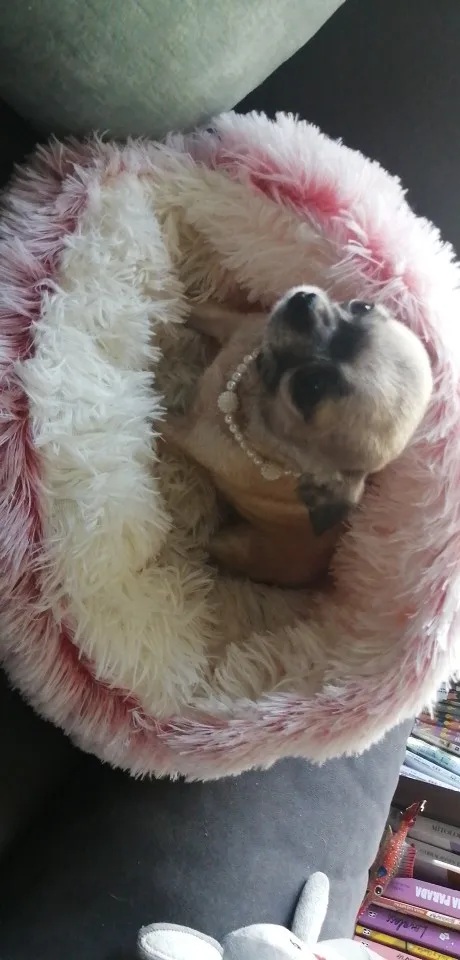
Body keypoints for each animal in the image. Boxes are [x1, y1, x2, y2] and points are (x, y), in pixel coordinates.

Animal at [163, 287, 433, 586]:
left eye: (310, 387)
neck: (245, 393)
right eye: (362, 307)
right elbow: (193, 308)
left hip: (231, 543)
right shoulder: (232, 323)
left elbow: (156, 414)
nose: (304, 302)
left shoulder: (188, 434)